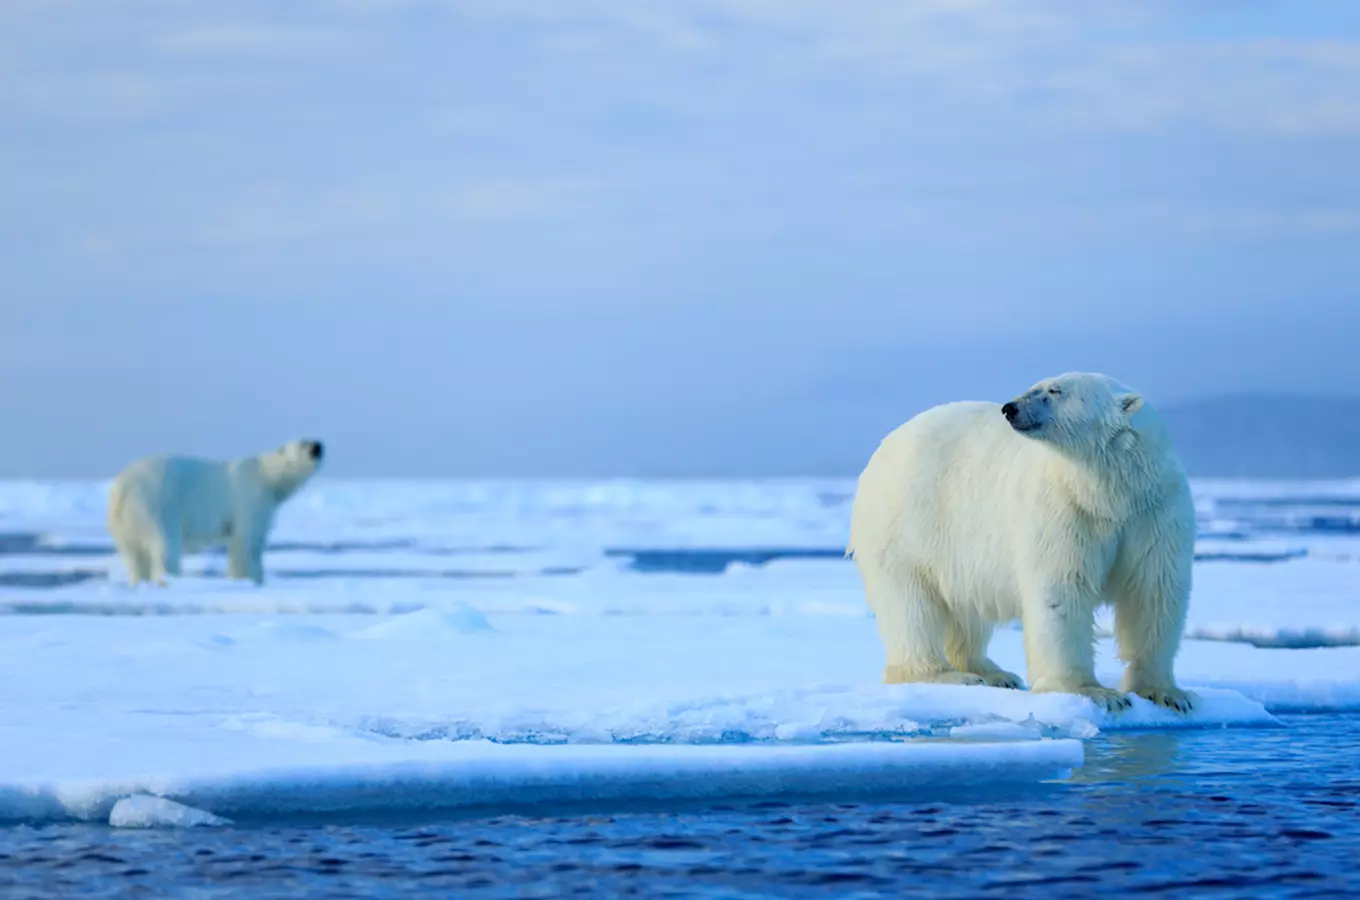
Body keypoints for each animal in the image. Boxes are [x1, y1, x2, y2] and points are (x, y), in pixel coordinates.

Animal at [106, 440, 323, 590]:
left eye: (314, 440)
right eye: (304, 443)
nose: (318, 447)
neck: (267, 478)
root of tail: (122, 488)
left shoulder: (265, 507)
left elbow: (258, 541)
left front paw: (259, 579)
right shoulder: (249, 499)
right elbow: (245, 543)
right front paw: (245, 579)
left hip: (123, 523)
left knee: (133, 555)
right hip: (156, 503)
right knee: (165, 545)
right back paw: (169, 580)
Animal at [843, 372, 1196, 712]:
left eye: (1055, 390)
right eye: (1035, 386)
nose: (1009, 408)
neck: (1109, 494)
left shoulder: (1154, 511)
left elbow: (1153, 592)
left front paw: (1167, 693)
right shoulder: (1065, 508)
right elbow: (1063, 590)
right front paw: (1094, 693)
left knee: (964, 610)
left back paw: (992, 672)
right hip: (907, 525)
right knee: (910, 605)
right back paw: (946, 674)